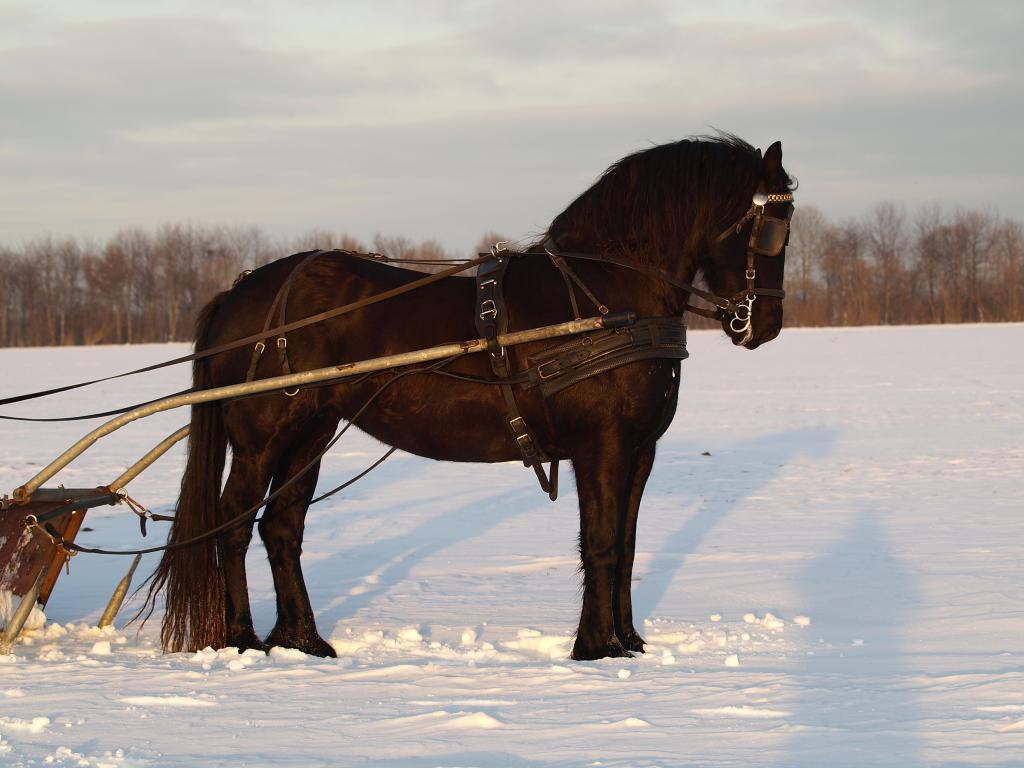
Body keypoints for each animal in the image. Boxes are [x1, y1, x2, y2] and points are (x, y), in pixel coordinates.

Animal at [148, 134, 794, 663]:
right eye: (771, 224)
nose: (764, 326)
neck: (609, 296)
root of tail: (239, 292)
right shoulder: (601, 447)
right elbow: (603, 543)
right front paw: (596, 647)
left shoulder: (639, 450)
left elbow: (629, 545)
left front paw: (629, 642)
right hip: (262, 440)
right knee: (233, 524)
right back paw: (242, 639)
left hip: (311, 433)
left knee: (281, 527)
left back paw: (303, 641)